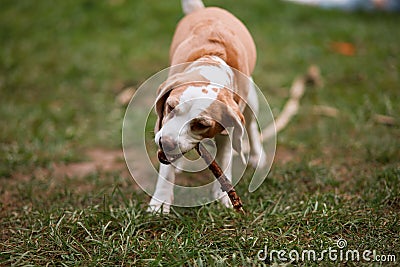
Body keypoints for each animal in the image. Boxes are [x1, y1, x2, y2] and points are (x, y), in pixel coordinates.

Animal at [147, 0, 266, 214]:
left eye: (201, 124)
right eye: (170, 107)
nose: (166, 143)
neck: (211, 60)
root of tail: (203, 10)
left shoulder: (228, 130)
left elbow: (225, 160)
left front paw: (222, 197)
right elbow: (166, 172)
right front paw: (159, 203)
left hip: (251, 98)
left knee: (252, 126)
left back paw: (257, 157)